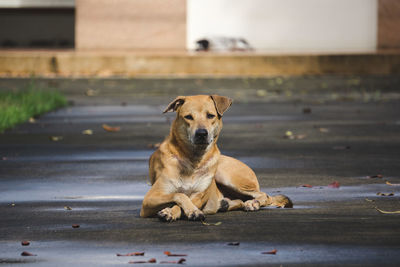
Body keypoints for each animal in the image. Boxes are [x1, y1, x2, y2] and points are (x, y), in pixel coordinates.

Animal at [141, 94, 294, 222]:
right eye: (188, 117)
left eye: (210, 115)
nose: (201, 133)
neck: (193, 160)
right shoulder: (149, 199)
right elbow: (179, 195)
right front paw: (176, 211)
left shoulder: (199, 196)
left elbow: (183, 200)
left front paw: (187, 211)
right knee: (241, 200)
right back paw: (227, 204)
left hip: (226, 175)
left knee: (264, 196)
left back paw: (252, 203)